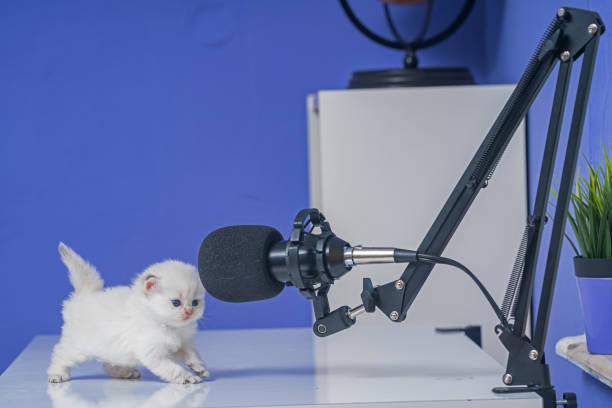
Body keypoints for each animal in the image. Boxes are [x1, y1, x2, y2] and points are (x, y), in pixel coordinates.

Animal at [47, 242, 210, 382]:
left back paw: (125, 372)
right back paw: (57, 374)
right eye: (176, 303)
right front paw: (187, 377)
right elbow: (173, 368)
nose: (189, 312)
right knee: (59, 354)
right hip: (77, 348)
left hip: (109, 349)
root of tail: (84, 295)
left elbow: (192, 355)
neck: (168, 325)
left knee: (108, 363)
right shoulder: (153, 354)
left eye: (195, 303)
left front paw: (199, 368)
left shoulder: (182, 344)